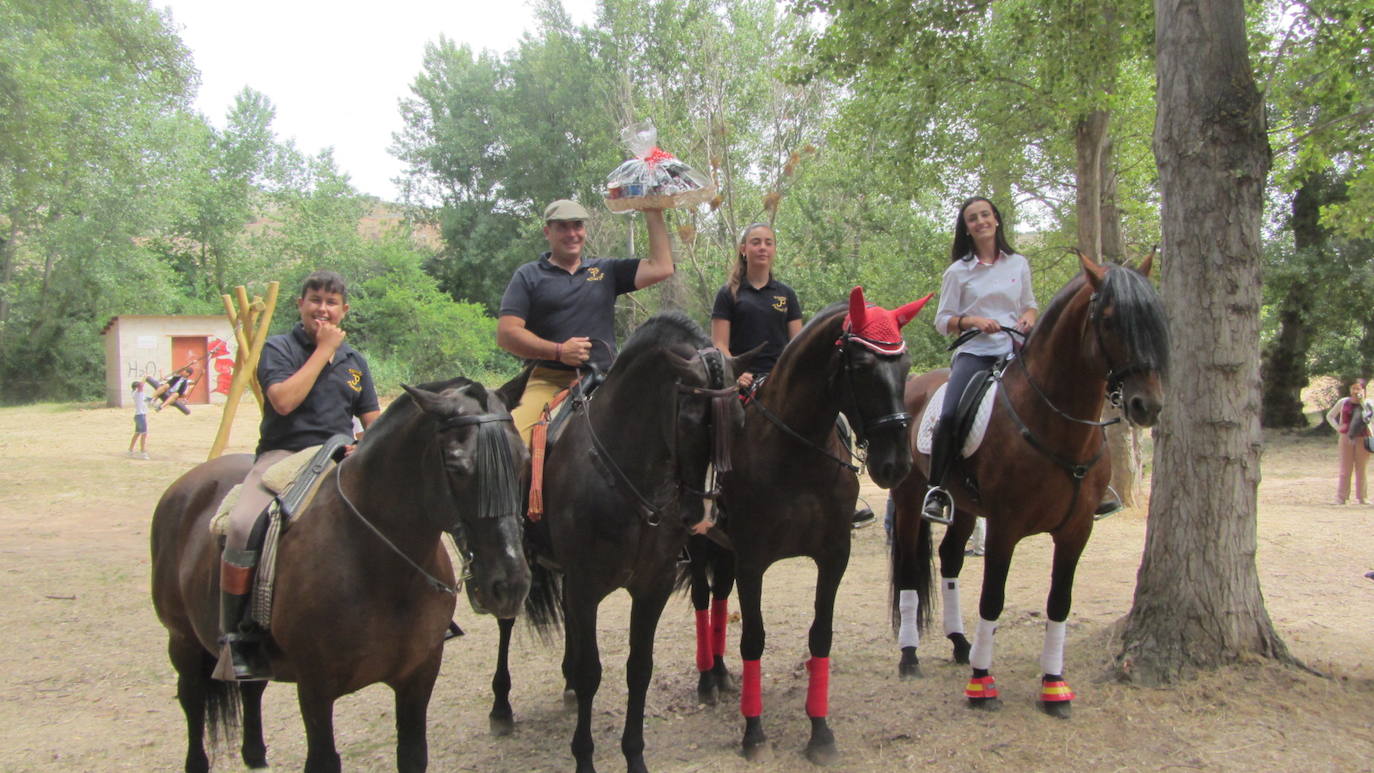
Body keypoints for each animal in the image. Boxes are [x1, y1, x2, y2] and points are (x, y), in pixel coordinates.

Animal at [151, 378, 530, 768]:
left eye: (523, 460)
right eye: (456, 467)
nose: (510, 585)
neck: (380, 569)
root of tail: (187, 484)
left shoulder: (418, 678)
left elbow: (412, 754)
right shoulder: (315, 690)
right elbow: (323, 759)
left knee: (251, 691)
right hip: (182, 640)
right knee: (192, 699)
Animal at [489, 313, 752, 773]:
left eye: (737, 420)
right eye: (688, 420)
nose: (704, 515)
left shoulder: (651, 586)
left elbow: (638, 669)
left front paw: (635, 756)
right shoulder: (587, 585)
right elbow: (593, 673)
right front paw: (584, 756)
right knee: (508, 620)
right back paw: (501, 706)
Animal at [687, 286, 934, 763]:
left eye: (906, 366)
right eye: (861, 367)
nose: (896, 465)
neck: (793, 453)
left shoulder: (833, 555)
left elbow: (821, 636)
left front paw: (820, 732)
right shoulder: (753, 562)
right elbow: (754, 639)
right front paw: (753, 732)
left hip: (725, 551)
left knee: (720, 598)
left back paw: (723, 675)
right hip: (698, 545)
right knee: (703, 601)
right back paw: (707, 680)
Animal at [890, 254, 1170, 719]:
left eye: (1155, 318)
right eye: (1109, 319)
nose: (1146, 405)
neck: (1054, 422)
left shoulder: (1076, 531)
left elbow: (1059, 602)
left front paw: (1054, 686)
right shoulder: (1005, 527)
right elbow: (992, 599)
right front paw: (982, 684)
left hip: (965, 507)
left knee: (950, 559)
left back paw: (959, 644)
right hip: (911, 499)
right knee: (911, 568)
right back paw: (910, 655)